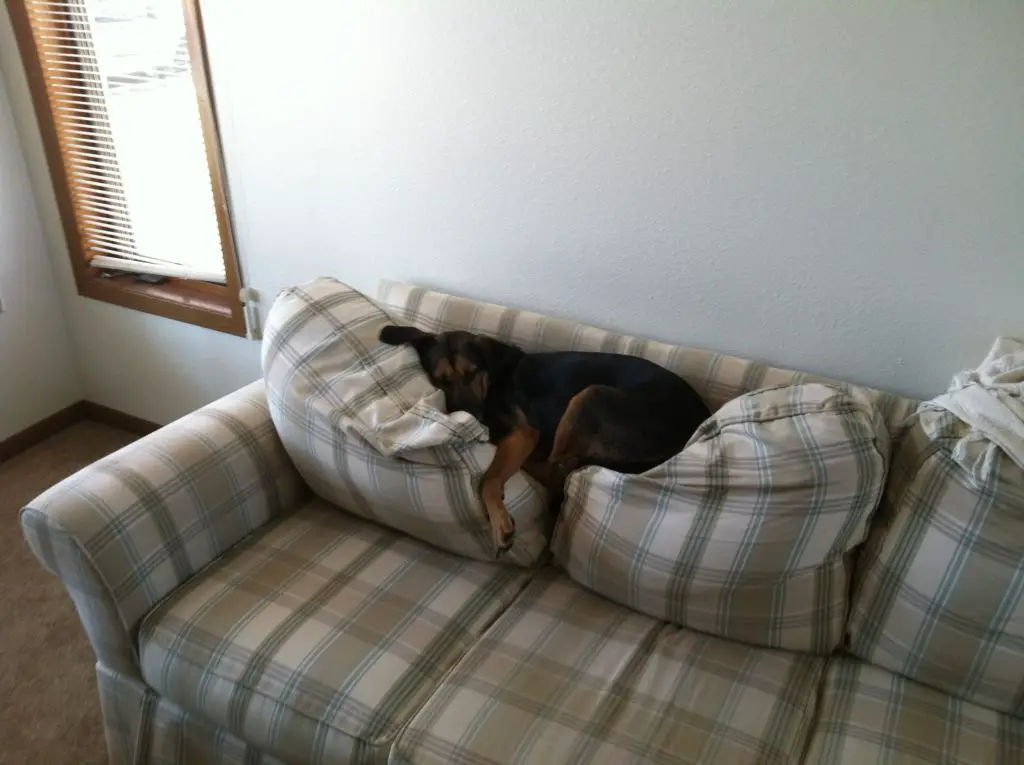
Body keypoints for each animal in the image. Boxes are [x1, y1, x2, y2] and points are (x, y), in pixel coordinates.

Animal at [380, 325, 708, 557]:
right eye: (441, 379)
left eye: (472, 373)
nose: (473, 417)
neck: (493, 379)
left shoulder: (525, 432)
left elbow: (488, 478)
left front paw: (499, 521)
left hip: (590, 396)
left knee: (557, 473)